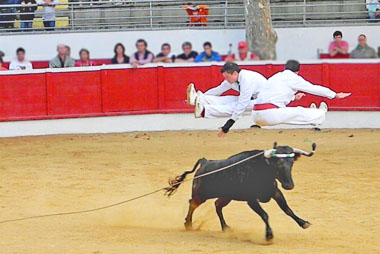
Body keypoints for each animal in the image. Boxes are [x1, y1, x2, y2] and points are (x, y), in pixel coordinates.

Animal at [165, 143, 316, 240]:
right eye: (277, 164)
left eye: (291, 163)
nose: (289, 185)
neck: (262, 169)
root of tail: (205, 162)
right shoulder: (251, 200)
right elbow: (265, 214)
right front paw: (269, 235)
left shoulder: (276, 192)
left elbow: (287, 209)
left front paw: (303, 223)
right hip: (201, 195)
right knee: (192, 203)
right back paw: (188, 224)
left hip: (226, 196)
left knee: (217, 205)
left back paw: (225, 227)